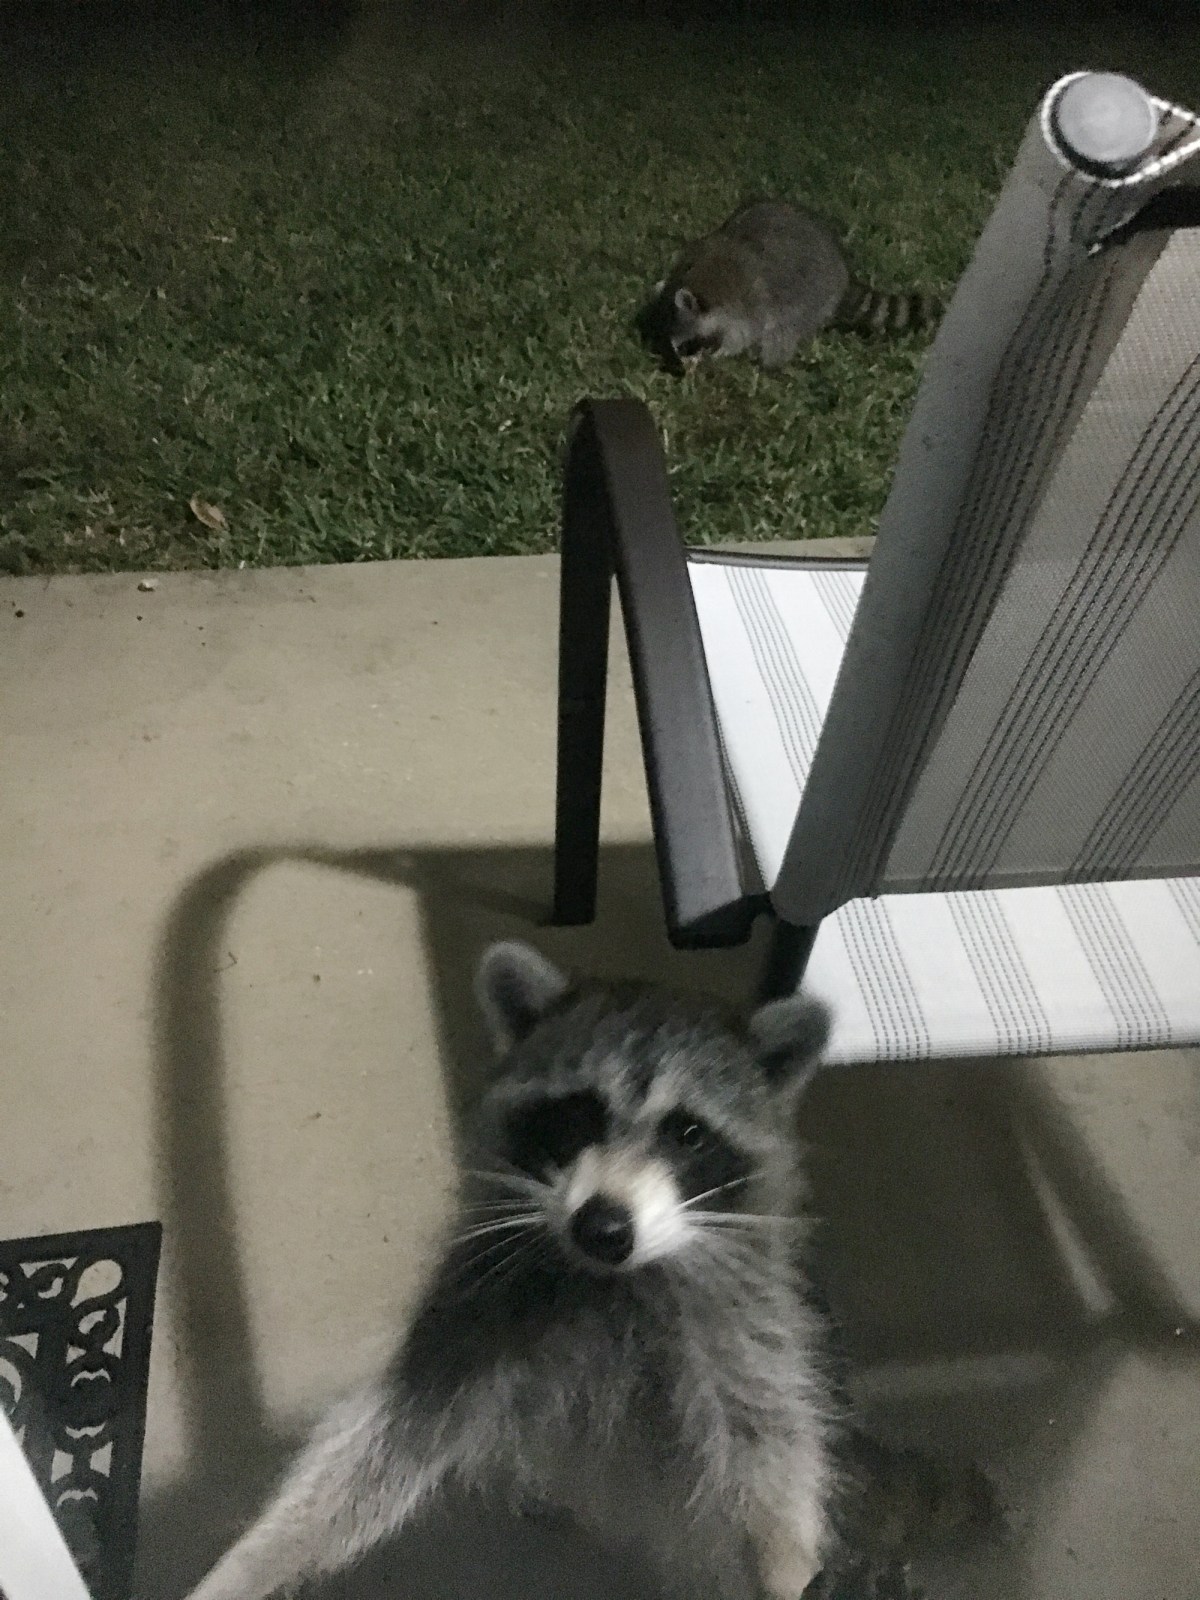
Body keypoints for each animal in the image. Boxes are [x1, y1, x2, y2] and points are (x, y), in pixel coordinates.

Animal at [181, 942, 837, 1600]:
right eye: (576, 1117)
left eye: (688, 1133)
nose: (603, 1228)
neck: (611, 1278)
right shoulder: (480, 1309)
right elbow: (375, 1450)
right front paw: (253, 1559)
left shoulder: (742, 1333)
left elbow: (771, 1451)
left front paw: (786, 1565)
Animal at [640, 199, 939, 371]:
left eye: (683, 342)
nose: (676, 361)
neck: (702, 279)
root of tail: (843, 275)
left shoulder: (748, 303)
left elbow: (742, 335)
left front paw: (716, 354)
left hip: (811, 298)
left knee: (781, 333)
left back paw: (769, 365)